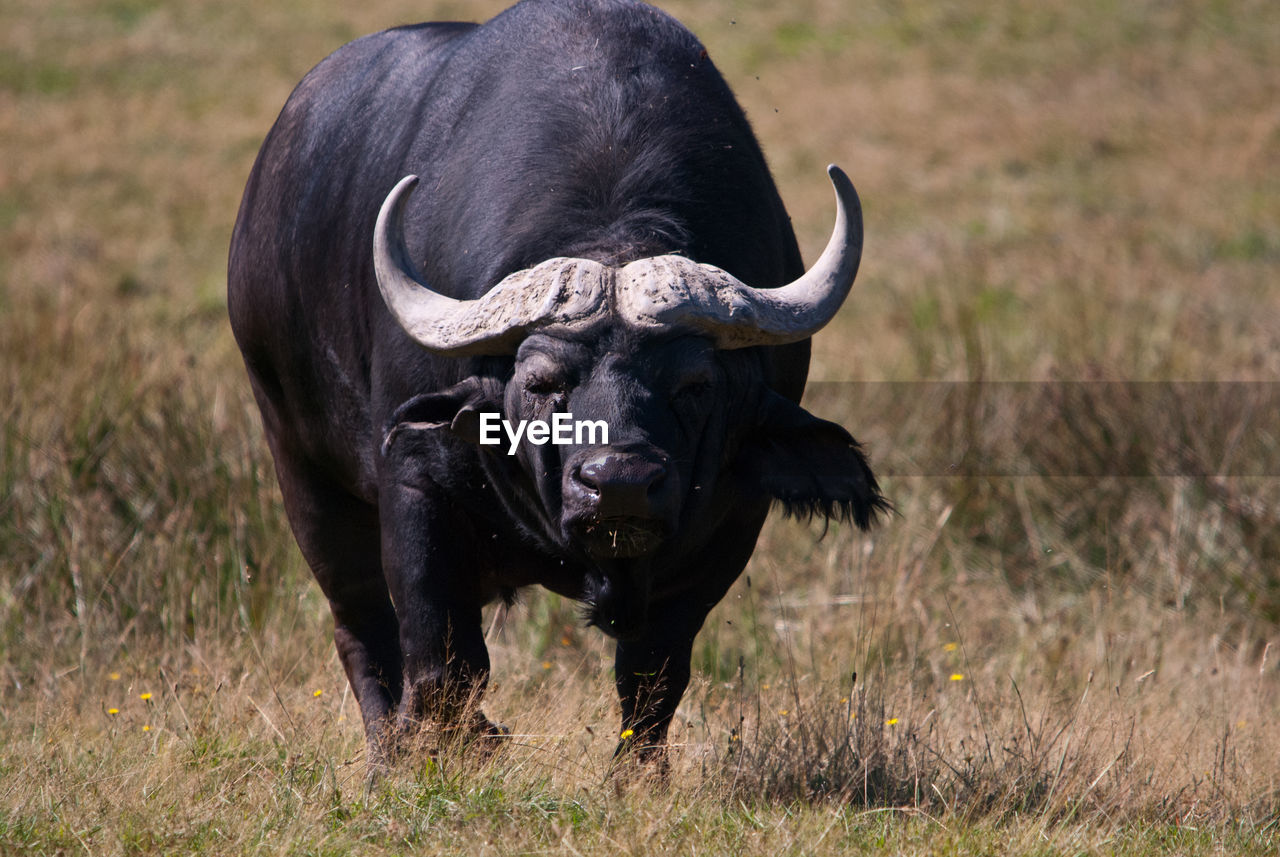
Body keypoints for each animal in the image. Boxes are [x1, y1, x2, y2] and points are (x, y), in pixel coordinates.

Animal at [230, 0, 885, 767]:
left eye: (695, 385)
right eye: (542, 382)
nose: (620, 483)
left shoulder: (724, 530)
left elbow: (653, 681)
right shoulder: (415, 483)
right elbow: (443, 665)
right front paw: (451, 748)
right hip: (305, 475)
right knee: (363, 634)